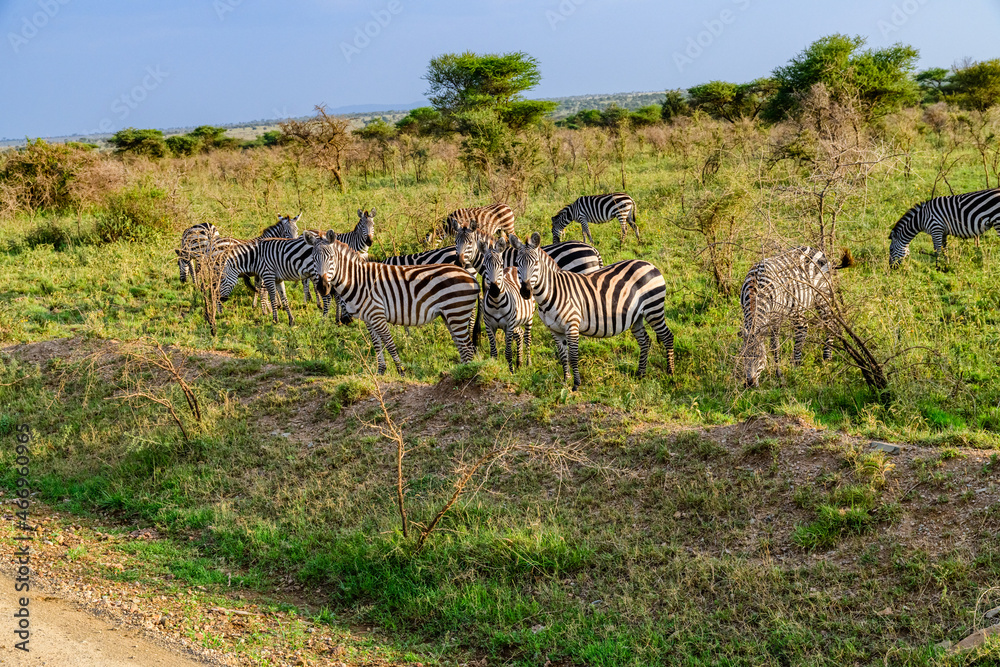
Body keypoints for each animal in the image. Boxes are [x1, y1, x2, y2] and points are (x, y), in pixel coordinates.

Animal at [308, 234, 480, 375]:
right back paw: (461, 371)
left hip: (457, 312)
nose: (322, 287)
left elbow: (389, 344)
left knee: (467, 347)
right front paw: (380, 371)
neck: (359, 281)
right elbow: (377, 345)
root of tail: (471, 277)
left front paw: (401, 371)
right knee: (461, 346)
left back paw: (466, 374)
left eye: (331, 258)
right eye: (314, 259)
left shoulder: (377, 315)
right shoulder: (368, 319)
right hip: (449, 315)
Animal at [478, 235, 535, 371]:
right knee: (519, 334)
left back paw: (528, 363)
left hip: (529, 317)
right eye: (484, 266)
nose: (494, 290)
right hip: (516, 320)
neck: (496, 304)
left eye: (500, 265)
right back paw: (519, 362)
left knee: (527, 338)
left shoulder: (508, 326)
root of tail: (513, 267)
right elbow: (493, 353)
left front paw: (511, 372)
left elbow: (508, 353)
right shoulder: (489, 326)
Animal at [511, 232, 674, 391]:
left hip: (654, 308)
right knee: (645, 340)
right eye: (517, 264)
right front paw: (565, 381)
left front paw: (576, 384)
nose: (525, 292)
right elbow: (563, 356)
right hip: (637, 316)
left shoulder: (572, 325)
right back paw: (641, 374)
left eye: (536, 263)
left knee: (667, 336)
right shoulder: (554, 330)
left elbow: (573, 355)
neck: (553, 291)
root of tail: (649, 264)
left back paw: (670, 373)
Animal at [738, 246, 851, 388]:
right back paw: (797, 363)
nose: (750, 384)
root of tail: (815, 249)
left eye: (760, 357)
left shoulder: (776, 317)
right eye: (743, 356)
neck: (755, 291)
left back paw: (826, 358)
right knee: (803, 329)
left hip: (822, 296)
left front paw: (779, 373)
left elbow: (774, 345)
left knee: (829, 323)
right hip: (798, 306)